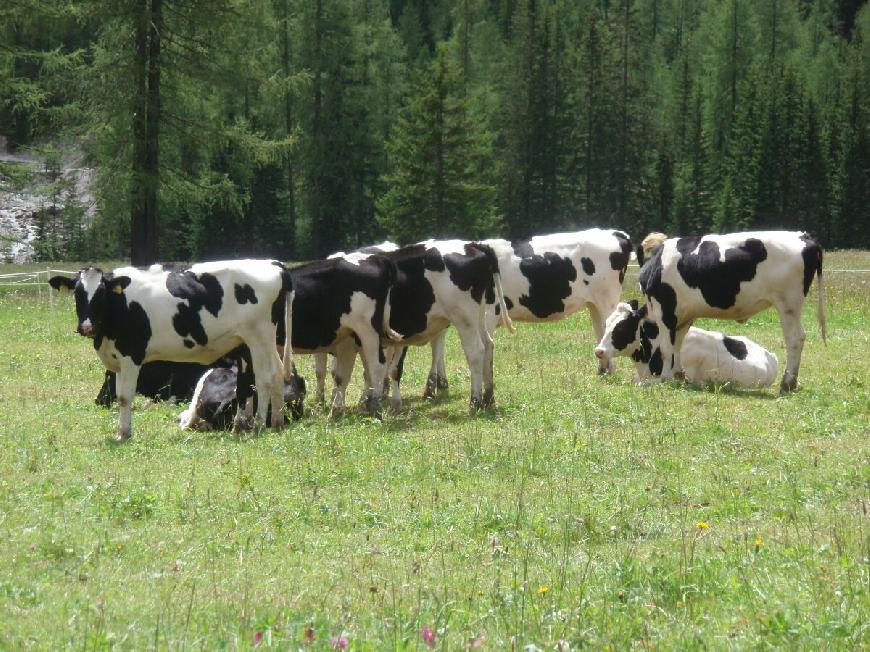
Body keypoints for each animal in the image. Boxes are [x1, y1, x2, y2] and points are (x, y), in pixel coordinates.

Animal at [286, 255, 402, 418]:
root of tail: (376, 258)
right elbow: (324, 372)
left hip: (369, 332)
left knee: (378, 367)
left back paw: (374, 408)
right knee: (368, 370)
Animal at [422, 229, 632, 392]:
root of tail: (613, 232)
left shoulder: (486, 316)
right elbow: (438, 344)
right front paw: (440, 384)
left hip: (607, 299)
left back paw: (610, 372)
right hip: (594, 304)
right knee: (600, 330)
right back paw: (603, 371)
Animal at [600, 300, 776, 388]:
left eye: (622, 327)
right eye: (606, 323)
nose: (599, 350)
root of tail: (770, 354)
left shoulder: (674, 377)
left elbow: (639, 383)